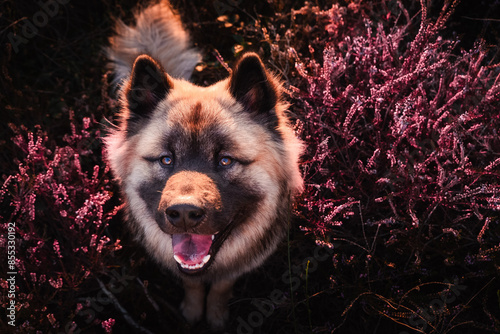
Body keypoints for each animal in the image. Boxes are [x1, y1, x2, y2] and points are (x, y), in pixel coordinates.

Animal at [103, 0, 302, 328]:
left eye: (225, 160)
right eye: (166, 159)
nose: (183, 213)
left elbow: (221, 286)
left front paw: (216, 316)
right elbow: (191, 283)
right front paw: (193, 312)